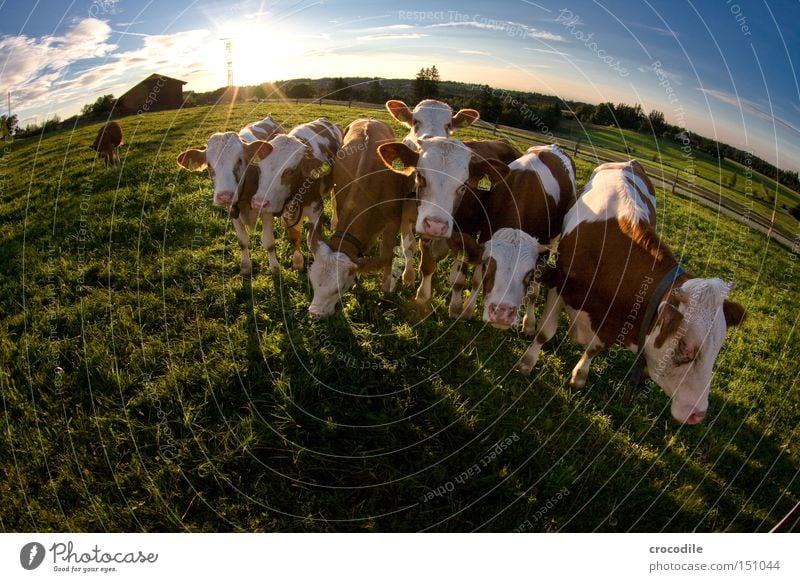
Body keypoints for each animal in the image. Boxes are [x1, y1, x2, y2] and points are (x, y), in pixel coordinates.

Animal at [177, 117, 286, 278]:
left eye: (239, 160)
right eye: (209, 164)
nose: (224, 195)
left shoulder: (265, 210)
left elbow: (268, 242)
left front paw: (275, 268)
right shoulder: (233, 210)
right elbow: (242, 241)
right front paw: (245, 267)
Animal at [308, 118, 416, 320]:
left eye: (338, 288)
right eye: (312, 280)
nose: (315, 314)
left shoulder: (394, 220)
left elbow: (387, 251)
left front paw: (386, 286)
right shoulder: (343, 203)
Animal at [516, 162, 748, 426]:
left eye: (718, 348)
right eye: (685, 347)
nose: (698, 413)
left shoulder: (614, 323)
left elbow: (594, 348)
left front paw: (579, 376)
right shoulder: (559, 286)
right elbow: (545, 332)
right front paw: (527, 363)